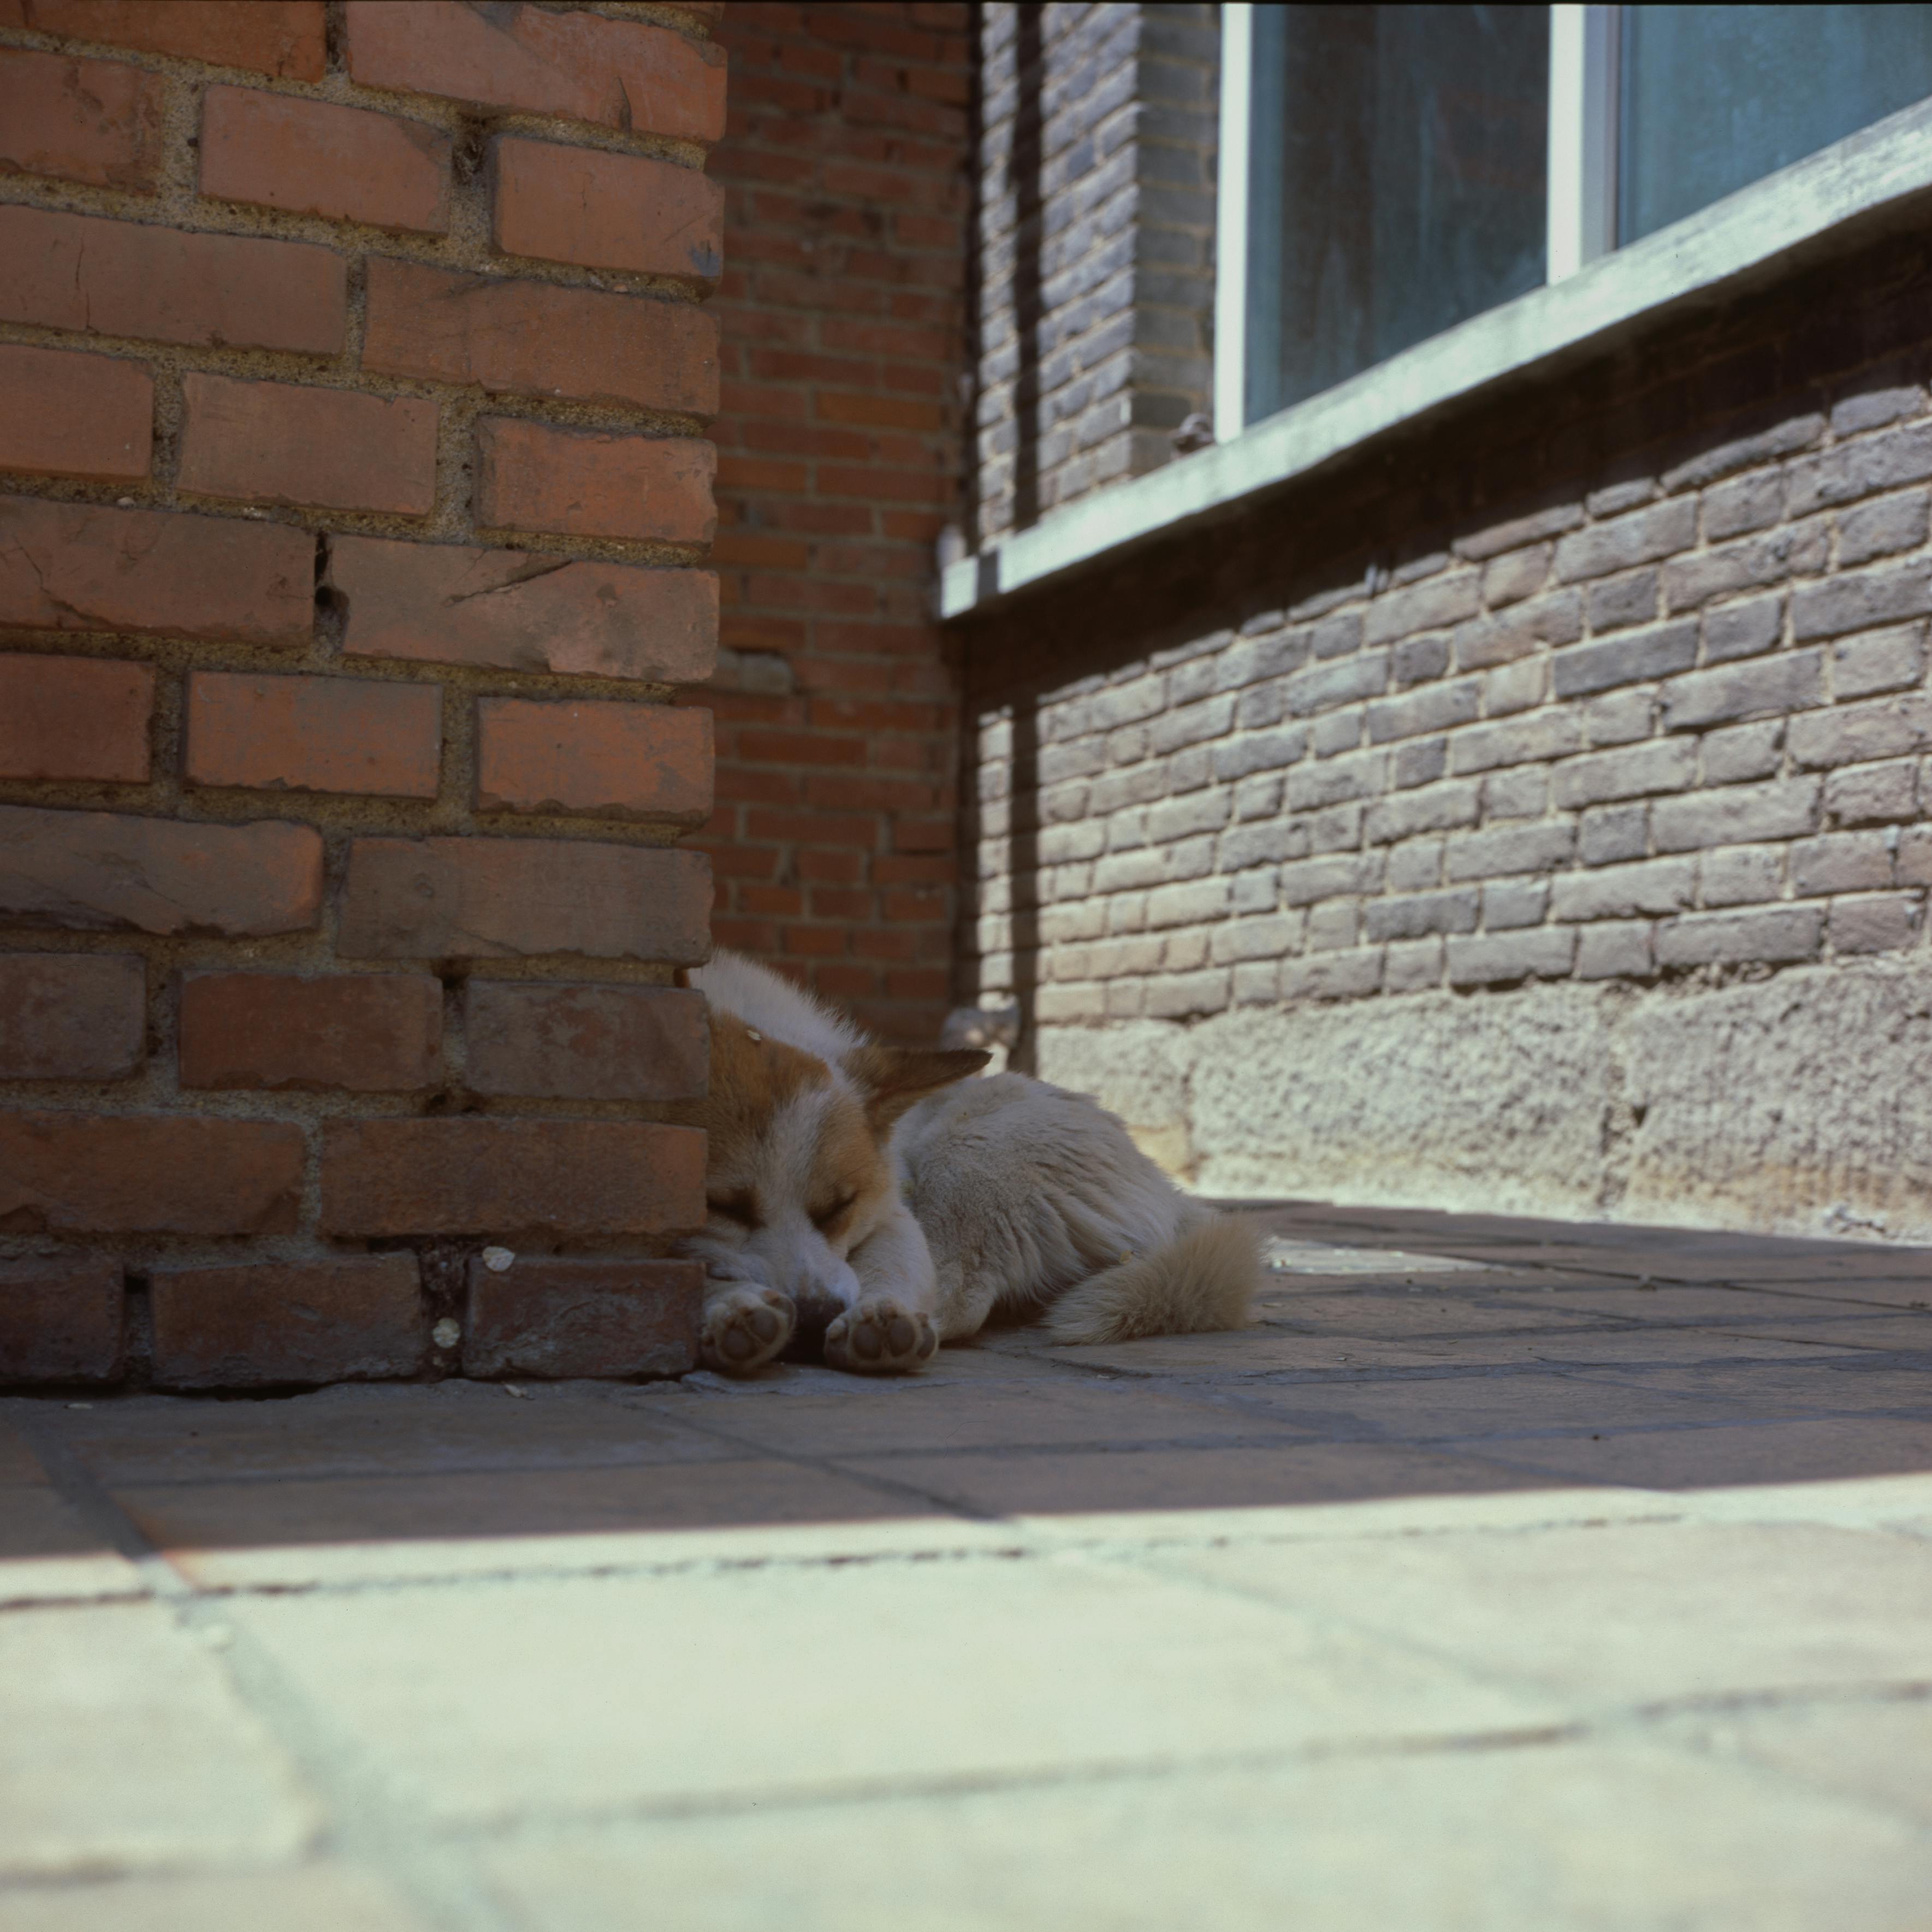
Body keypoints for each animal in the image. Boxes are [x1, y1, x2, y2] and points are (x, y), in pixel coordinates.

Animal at [688, 950, 1259, 1376]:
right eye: (723, 1207)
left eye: (838, 1209)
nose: (813, 1321)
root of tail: (1174, 1194)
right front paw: (733, 1308)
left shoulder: (891, 1215)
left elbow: (889, 1271)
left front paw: (879, 1318)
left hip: (965, 1152)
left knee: (958, 1300)